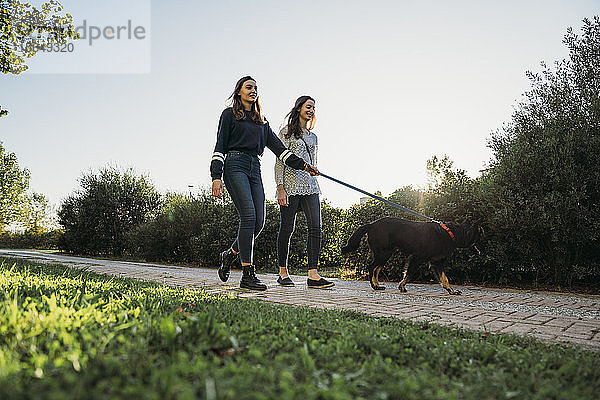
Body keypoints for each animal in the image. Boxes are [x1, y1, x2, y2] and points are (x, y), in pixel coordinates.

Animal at [340, 217, 480, 296]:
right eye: (478, 236)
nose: (481, 249)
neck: (450, 233)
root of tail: (371, 224)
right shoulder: (419, 259)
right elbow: (410, 274)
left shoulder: (434, 261)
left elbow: (443, 278)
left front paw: (451, 291)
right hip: (383, 253)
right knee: (371, 267)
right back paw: (374, 286)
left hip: (385, 254)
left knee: (376, 269)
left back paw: (377, 285)